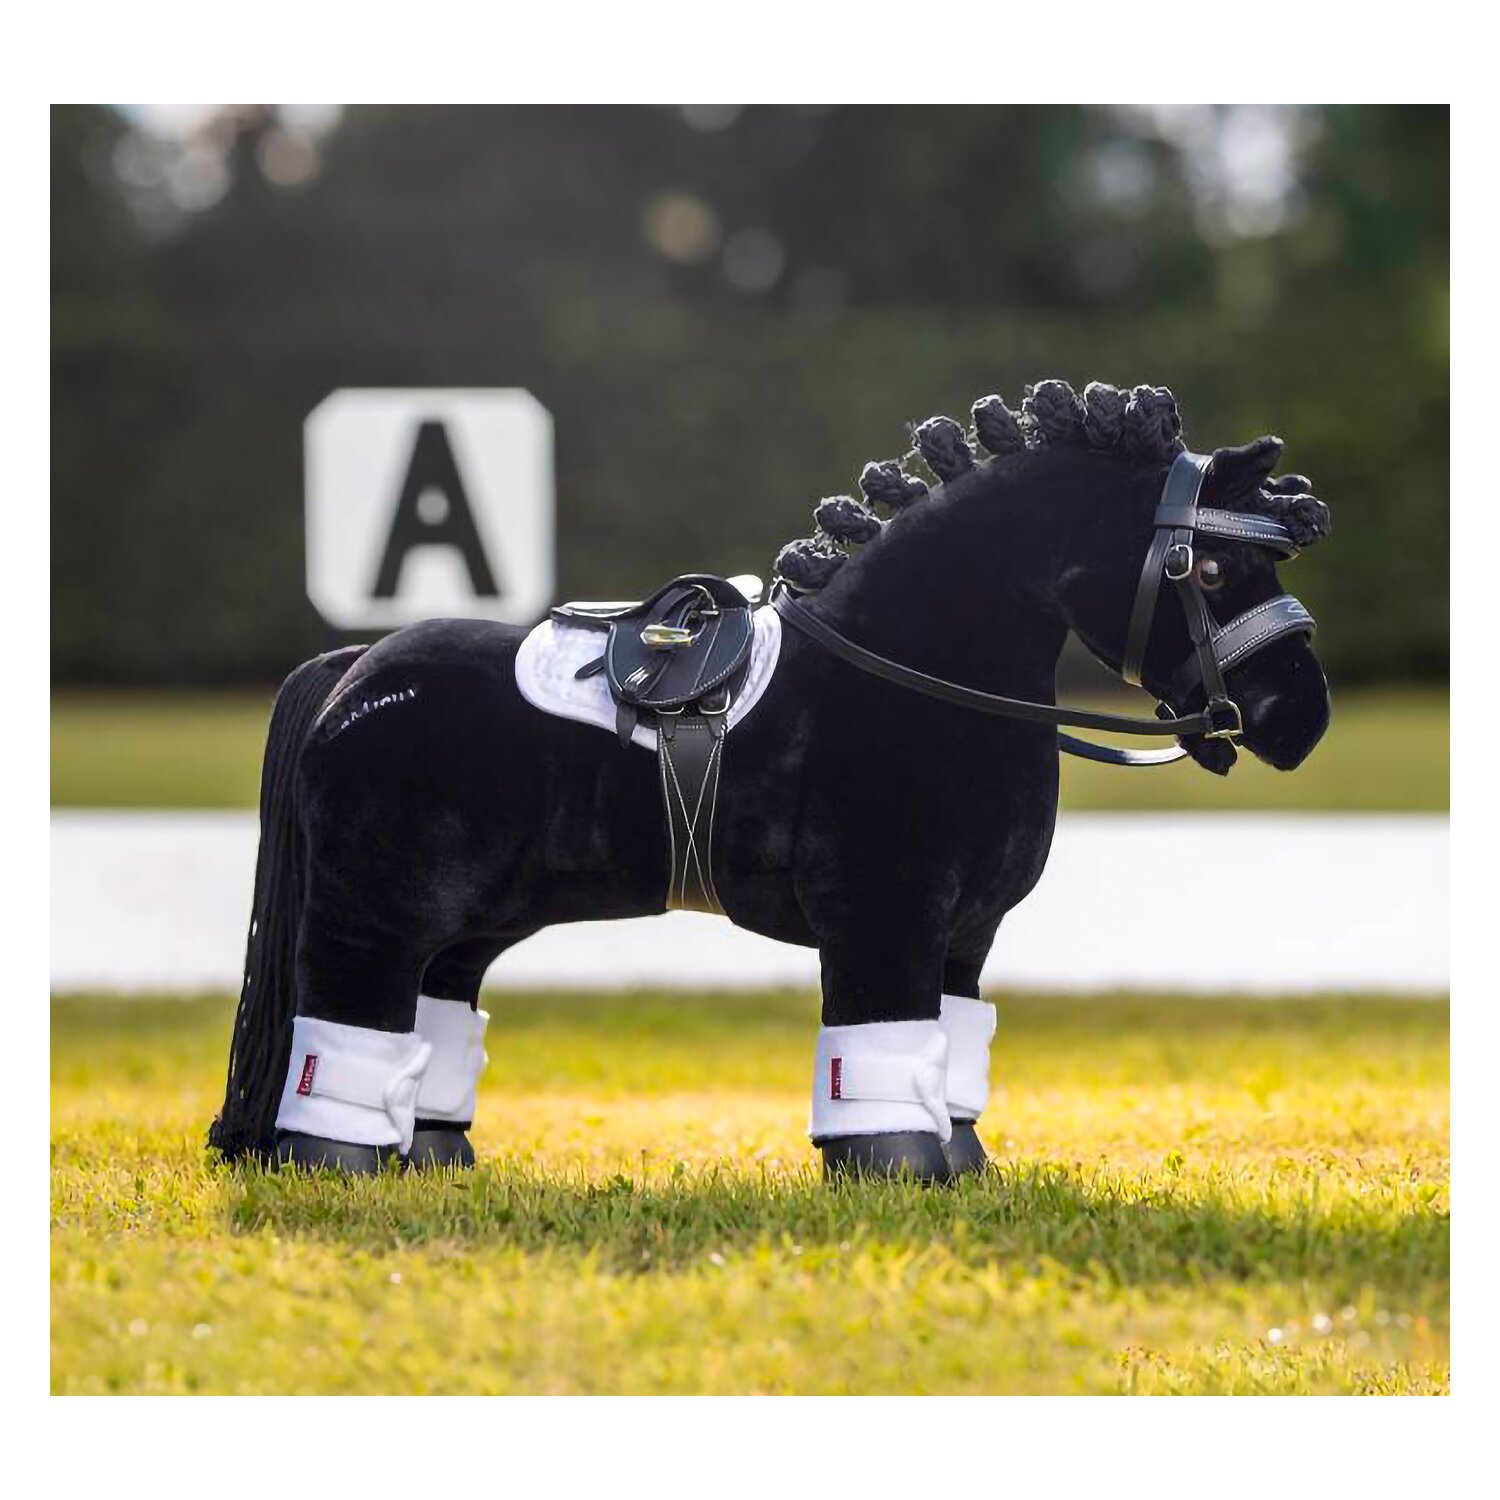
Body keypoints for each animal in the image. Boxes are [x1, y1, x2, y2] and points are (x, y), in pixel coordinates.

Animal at [209, 378, 1332, 1183]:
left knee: (433, 1020)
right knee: (345, 1024)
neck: (913, 666)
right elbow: (878, 1053)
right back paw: (344, 1167)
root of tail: (354, 669)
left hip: (467, 926)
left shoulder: (964, 937)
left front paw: (965, 1169)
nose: (1301, 717)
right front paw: (896, 1173)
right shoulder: (884, 919)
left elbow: (951, 1052)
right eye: (1212, 570)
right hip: (375, 914)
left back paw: (435, 1161)